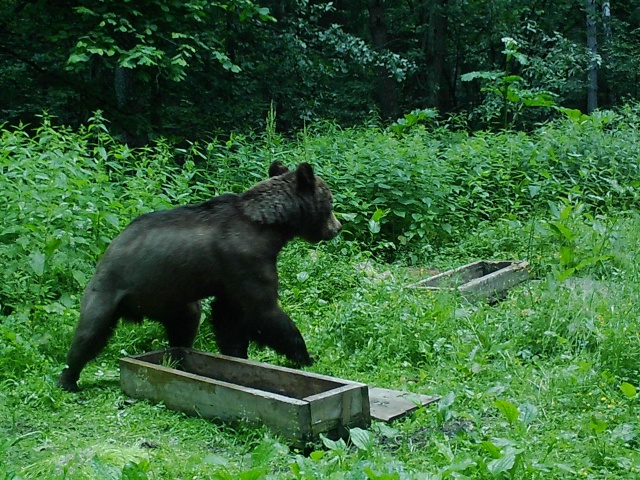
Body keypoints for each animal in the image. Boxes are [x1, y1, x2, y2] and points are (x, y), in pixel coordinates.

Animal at [58, 161, 341, 392]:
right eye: (330, 202)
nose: (337, 228)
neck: (270, 229)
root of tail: (108, 250)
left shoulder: (229, 279)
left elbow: (228, 318)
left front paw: (236, 355)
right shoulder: (245, 260)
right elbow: (263, 311)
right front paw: (305, 354)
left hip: (170, 297)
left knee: (186, 320)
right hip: (113, 290)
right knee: (89, 332)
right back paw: (68, 378)